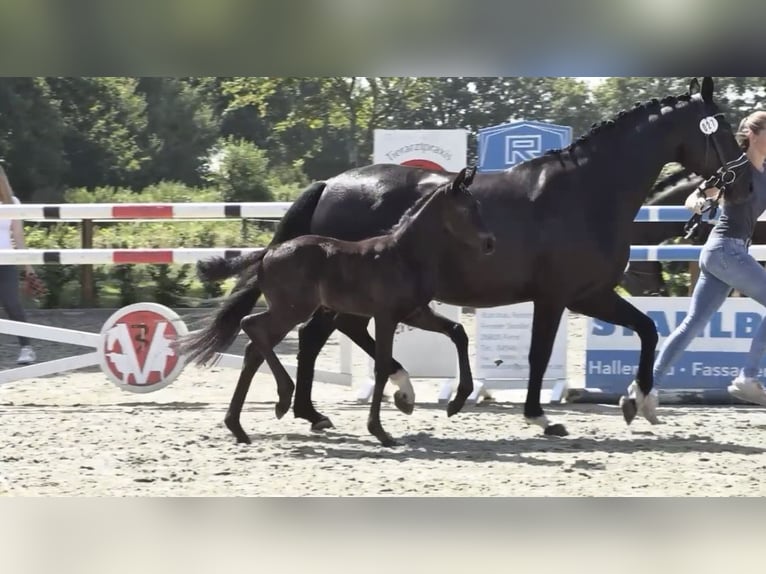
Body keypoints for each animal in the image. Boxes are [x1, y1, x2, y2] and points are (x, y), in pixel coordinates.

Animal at [177, 167, 496, 447]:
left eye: (479, 205)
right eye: (466, 209)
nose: (490, 243)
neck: (403, 255)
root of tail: (268, 252)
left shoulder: (415, 312)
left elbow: (457, 331)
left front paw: (456, 401)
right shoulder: (386, 317)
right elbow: (382, 367)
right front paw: (380, 432)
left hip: (291, 311)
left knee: (253, 346)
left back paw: (240, 426)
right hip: (291, 310)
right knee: (251, 327)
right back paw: (283, 399)